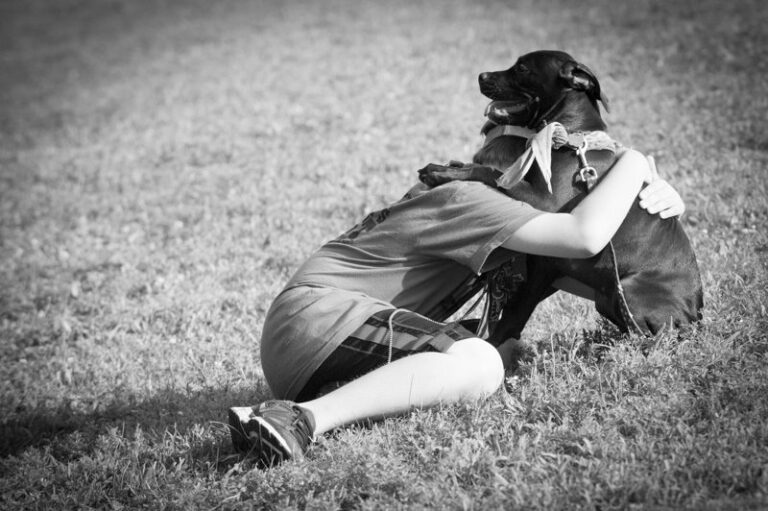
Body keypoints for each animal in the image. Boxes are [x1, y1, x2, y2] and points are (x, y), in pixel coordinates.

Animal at [420, 50, 704, 350]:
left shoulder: (545, 207)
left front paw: (442, 172)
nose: (481, 76)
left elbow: (492, 172)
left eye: (522, 68)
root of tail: (695, 315)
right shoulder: (544, 269)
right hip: (607, 298)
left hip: (629, 289)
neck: (568, 138)